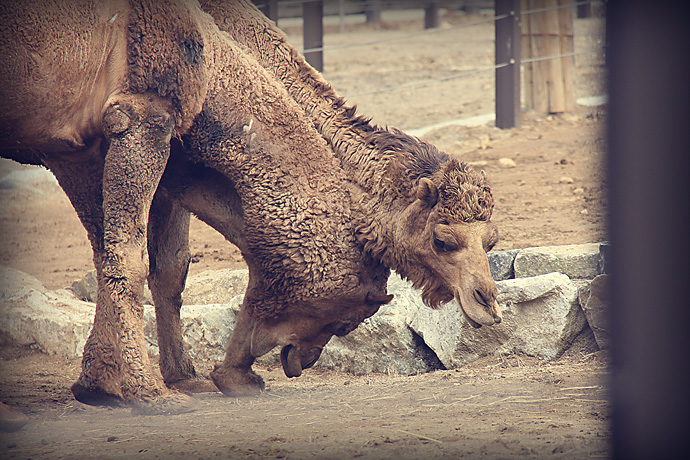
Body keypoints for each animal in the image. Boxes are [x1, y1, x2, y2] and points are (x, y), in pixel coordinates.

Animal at [0, 0, 390, 410]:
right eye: (346, 320)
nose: (303, 361)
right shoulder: (141, 116)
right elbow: (132, 258)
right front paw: (149, 392)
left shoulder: (76, 147)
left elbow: (115, 254)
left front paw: (100, 385)